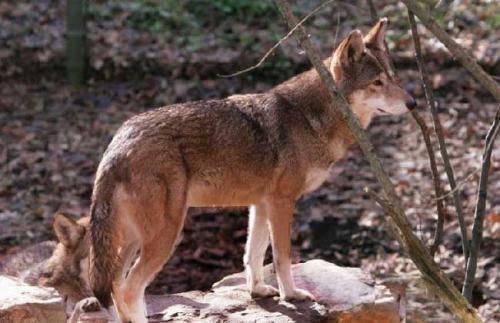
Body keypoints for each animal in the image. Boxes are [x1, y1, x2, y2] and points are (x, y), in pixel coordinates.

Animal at [40, 19, 414, 322]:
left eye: (394, 76)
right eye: (377, 82)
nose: (412, 103)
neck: (311, 118)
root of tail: (117, 143)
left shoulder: (260, 204)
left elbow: (253, 253)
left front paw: (259, 292)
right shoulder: (282, 203)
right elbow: (282, 256)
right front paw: (292, 295)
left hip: (132, 239)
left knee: (115, 286)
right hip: (166, 234)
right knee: (131, 289)